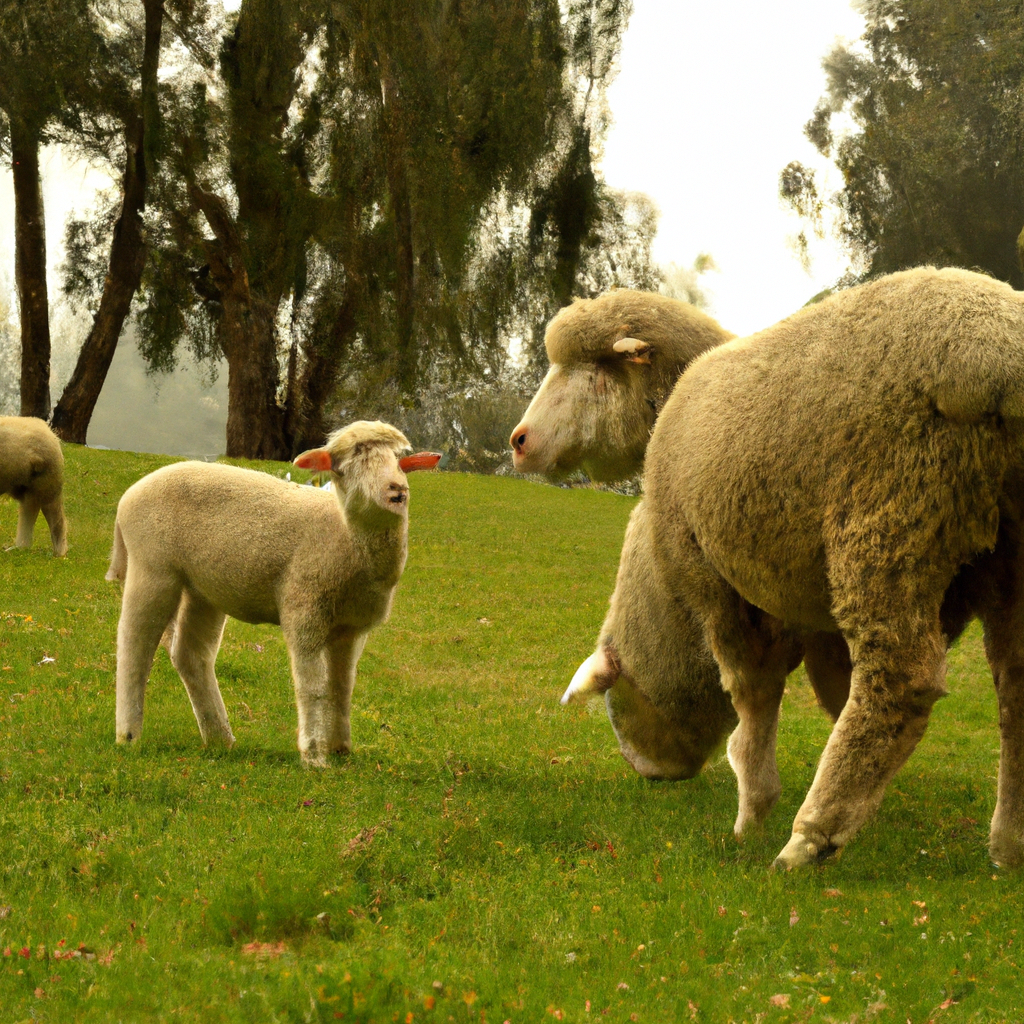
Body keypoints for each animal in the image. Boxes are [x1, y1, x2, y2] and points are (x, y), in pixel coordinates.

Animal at [0, 415, 68, 561]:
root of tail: (50, 433)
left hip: (46, 482)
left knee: (55, 518)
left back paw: (59, 554)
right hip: (25, 485)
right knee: (29, 511)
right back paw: (18, 548)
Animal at [104, 419, 440, 765]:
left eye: (398, 461)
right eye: (346, 467)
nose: (396, 491)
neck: (348, 541)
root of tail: (129, 496)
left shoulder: (352, 627)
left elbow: (343, 687)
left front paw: (340, 749)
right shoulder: (304, 608)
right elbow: (312, 686)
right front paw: (313, 755)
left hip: (204, 588)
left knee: (190, 654)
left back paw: (220, 737)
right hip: (153, 566)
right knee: (134, 643)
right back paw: (128, 735)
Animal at [569, 266, 1024, 872]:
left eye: (615, 702)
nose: (647, 772)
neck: (664, 589)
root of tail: (1002, 363)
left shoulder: (713, 581)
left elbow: (752, 696)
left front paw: (752, 813)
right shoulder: (813, 623)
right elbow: (831, 693)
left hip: (889, 518)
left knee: (900, 681)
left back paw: (808, 840)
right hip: (1008, 552)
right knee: (1016, 685)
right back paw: (1009, 845)